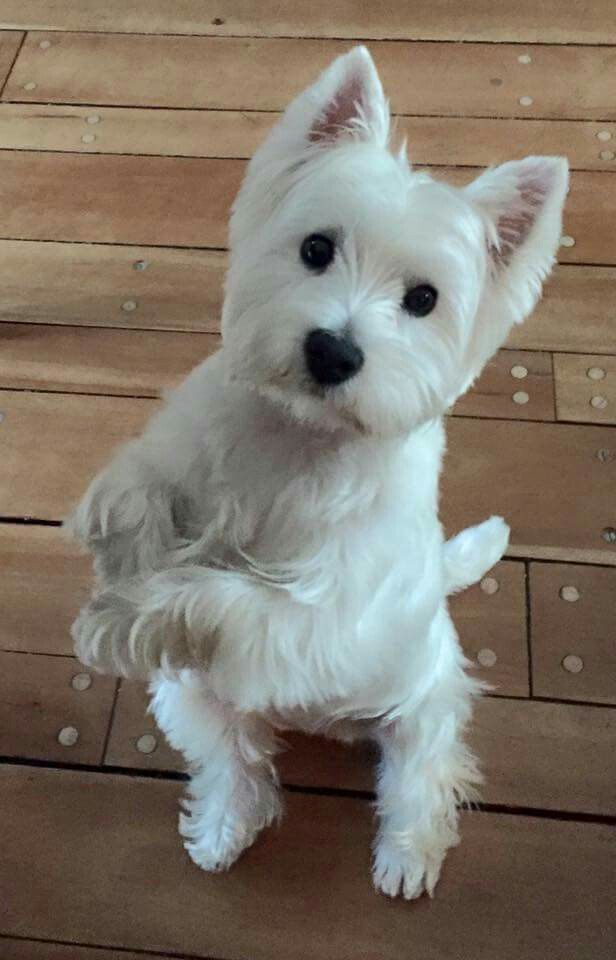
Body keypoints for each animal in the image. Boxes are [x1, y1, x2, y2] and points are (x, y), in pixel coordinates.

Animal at [68, 47, 568, 900]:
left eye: (424, 299)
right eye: (315, 249)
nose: (333, 352)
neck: (294, 437)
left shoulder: (322, 616)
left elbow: (224, 597)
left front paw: (124, 615)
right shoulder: (174, 455)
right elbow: (134, 493)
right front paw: (126, 565)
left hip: (423, 700)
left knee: (423, 773)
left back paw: (406, 857)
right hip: (193, 695)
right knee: (233, 759)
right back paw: (223, 829)